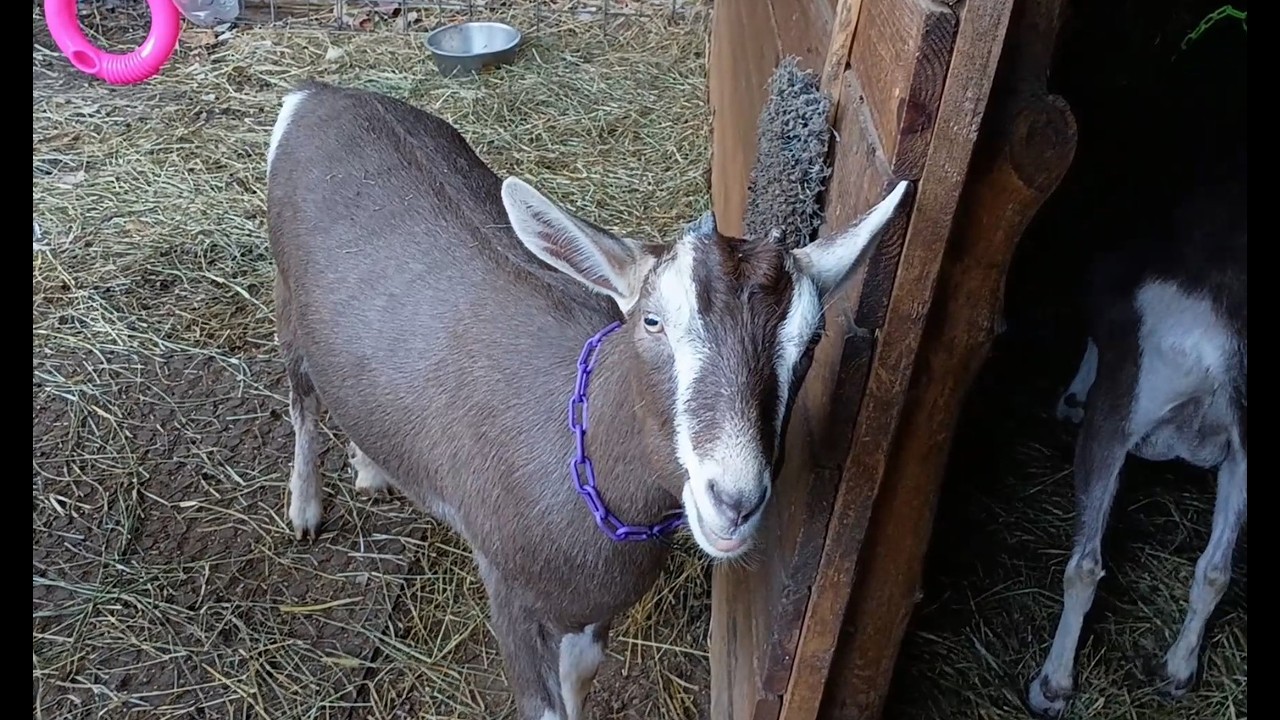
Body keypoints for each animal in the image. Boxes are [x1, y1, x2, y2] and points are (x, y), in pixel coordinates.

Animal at [266, 81, 911, 720]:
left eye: (812, 341)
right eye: (652, 321)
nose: (733, 502)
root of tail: (314, 94)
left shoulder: (596, 607)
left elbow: (580, 678)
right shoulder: (512, 596)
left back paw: (371, 469)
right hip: (289, 304)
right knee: (302, 398)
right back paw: (304, 509)